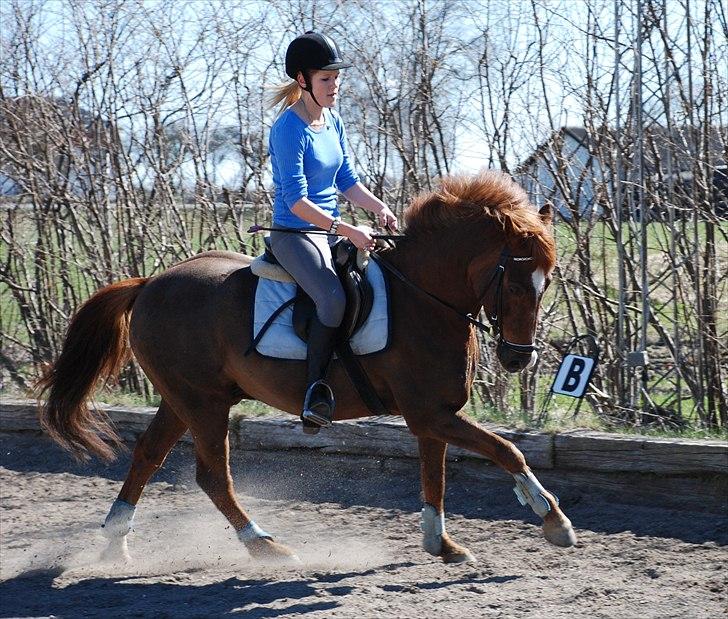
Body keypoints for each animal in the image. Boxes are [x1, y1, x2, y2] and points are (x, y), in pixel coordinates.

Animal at [37, 170, 577, 565]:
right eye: (514, 284)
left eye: (547, 281)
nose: (518, 358)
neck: (424, 297)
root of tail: (150, 283)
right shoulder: (429, 412)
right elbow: (508, 451)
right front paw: (554, 520)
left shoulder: (433, 415)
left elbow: (435, 477)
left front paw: (440, 544)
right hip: (202, 403)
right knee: (213, 476)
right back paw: (265, 546)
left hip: (183, 398)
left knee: (148, 455)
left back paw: (115, 543)